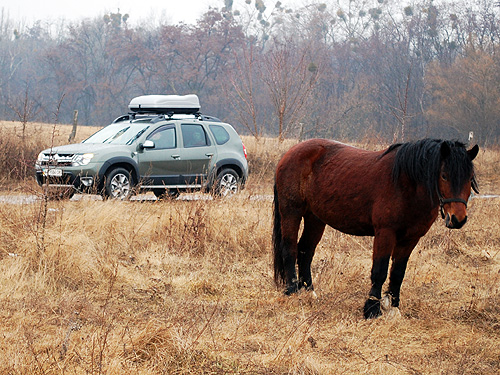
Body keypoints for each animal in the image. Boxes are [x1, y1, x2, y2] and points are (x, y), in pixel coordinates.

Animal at [274, 139, 480, 320]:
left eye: (470, 178)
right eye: (444, 175)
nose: (457, 219)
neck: (406, 183)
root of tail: (290, 153)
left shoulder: (410, 238)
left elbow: (398, 273)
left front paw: (393, 308)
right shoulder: (385, 233)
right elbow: (379, 271)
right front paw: (372, 310)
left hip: (315, 219)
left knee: (305, 251)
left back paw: (309, 291)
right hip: (291, 212)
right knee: (290, 249)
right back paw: (292, 290)